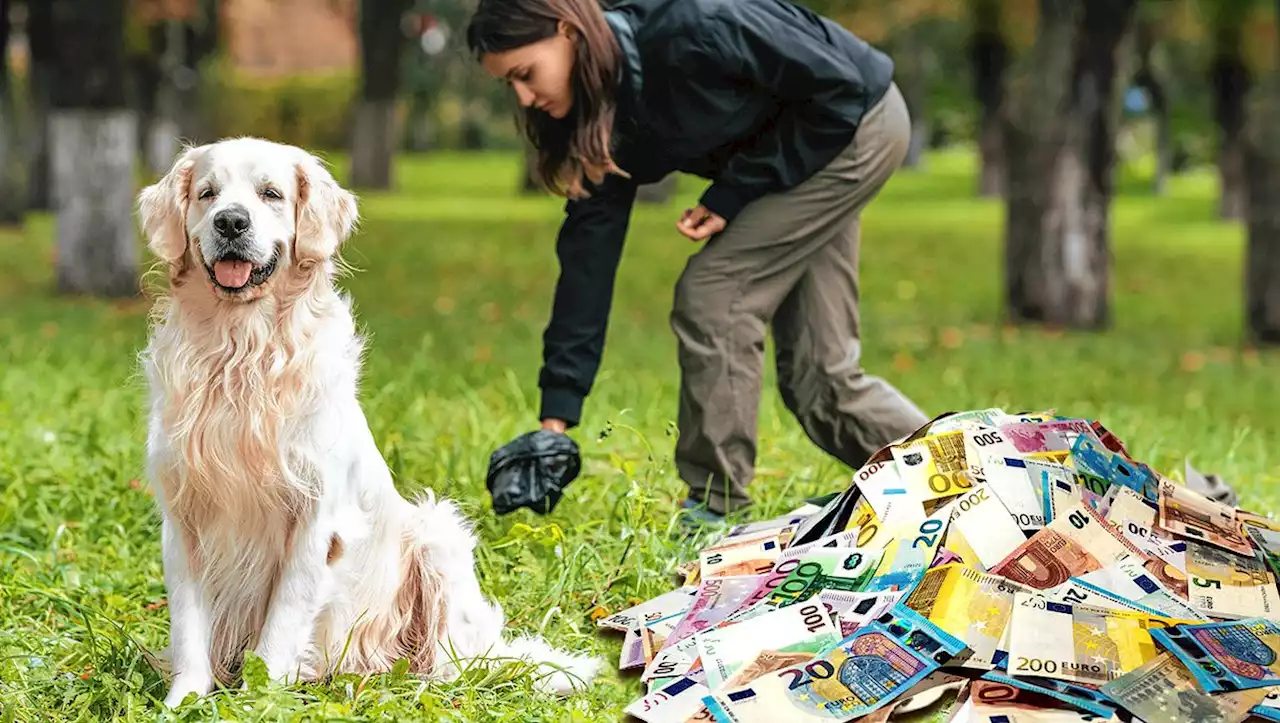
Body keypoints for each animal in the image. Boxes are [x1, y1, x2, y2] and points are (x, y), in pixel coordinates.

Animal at [137, 135, 601, 706]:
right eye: (207, 194)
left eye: (271, 194)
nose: (230, 222)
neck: (240, 351)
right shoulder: (184, 517)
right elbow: (189, 627)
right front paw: (183, 700)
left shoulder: (316, 518)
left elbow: (281, 624)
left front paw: (256, 699)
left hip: (438, 535)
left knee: (454, 664)